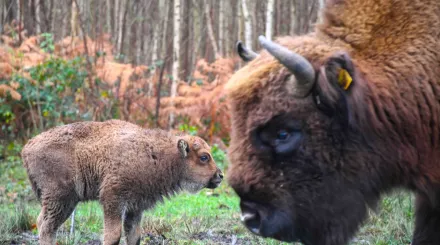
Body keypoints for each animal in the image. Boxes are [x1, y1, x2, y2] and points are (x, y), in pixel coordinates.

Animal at [21, 119, 223, 245]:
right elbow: (113, 236)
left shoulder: (135, 207)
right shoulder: (113, 200)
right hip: (61, 199)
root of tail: (27, 147)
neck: (157, 154)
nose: (220, 175)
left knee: (43, 224)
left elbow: (134, 236)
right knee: (46, 227)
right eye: (204, 157)